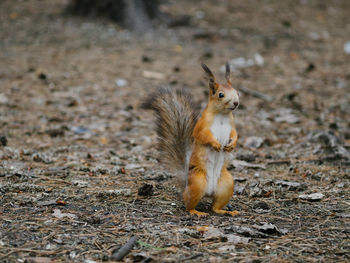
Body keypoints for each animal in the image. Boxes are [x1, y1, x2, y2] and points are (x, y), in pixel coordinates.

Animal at [144, 63, 239, 217]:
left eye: (237, 92)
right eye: (221, 94)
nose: (236, 103)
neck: (222, 115)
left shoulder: (232, 127)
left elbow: (235, 134)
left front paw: (232, 145)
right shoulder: (202, 126)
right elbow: (203, 136)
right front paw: (216, 144)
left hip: (226, 183)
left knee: (214, 207)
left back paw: (225, 211)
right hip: (198, 181)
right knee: (189, 204)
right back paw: (196, 212)